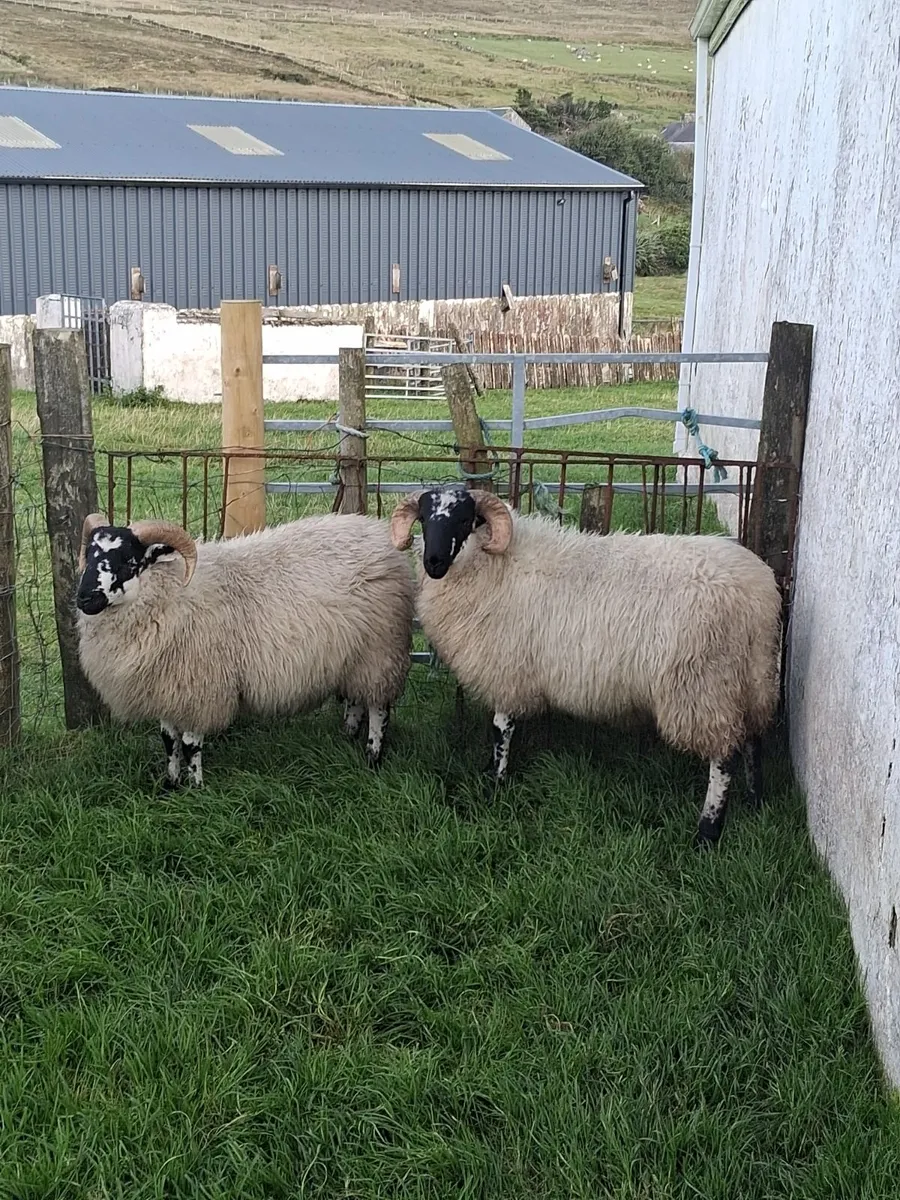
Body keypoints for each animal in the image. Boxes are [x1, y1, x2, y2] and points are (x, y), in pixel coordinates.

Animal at [75, 511, 414, 788]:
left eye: (129, 561)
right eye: (88, 556)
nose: (85, 599)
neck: (171, 593)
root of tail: (376, 531)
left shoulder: (200, 689)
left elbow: (190, 744)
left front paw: (196, 786)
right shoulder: (168, 689)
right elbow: (169, 742)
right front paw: (170, 783)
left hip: (380, 650)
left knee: (379, 707)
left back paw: (372, 755)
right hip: (353, 656)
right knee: (357, 698)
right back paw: (348, 736)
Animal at [390, 487, 782, 845]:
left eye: (463, 519)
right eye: (424, 518)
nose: (433, 562)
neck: (494, 564)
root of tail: (759, 594)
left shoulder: (506, 669)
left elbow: (501, 730)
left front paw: (496, 781)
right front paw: (490, 772)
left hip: (705, 685)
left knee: (724, 757)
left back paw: (708, 830)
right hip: (753, 677)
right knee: (753, 738)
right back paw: (754, 799)